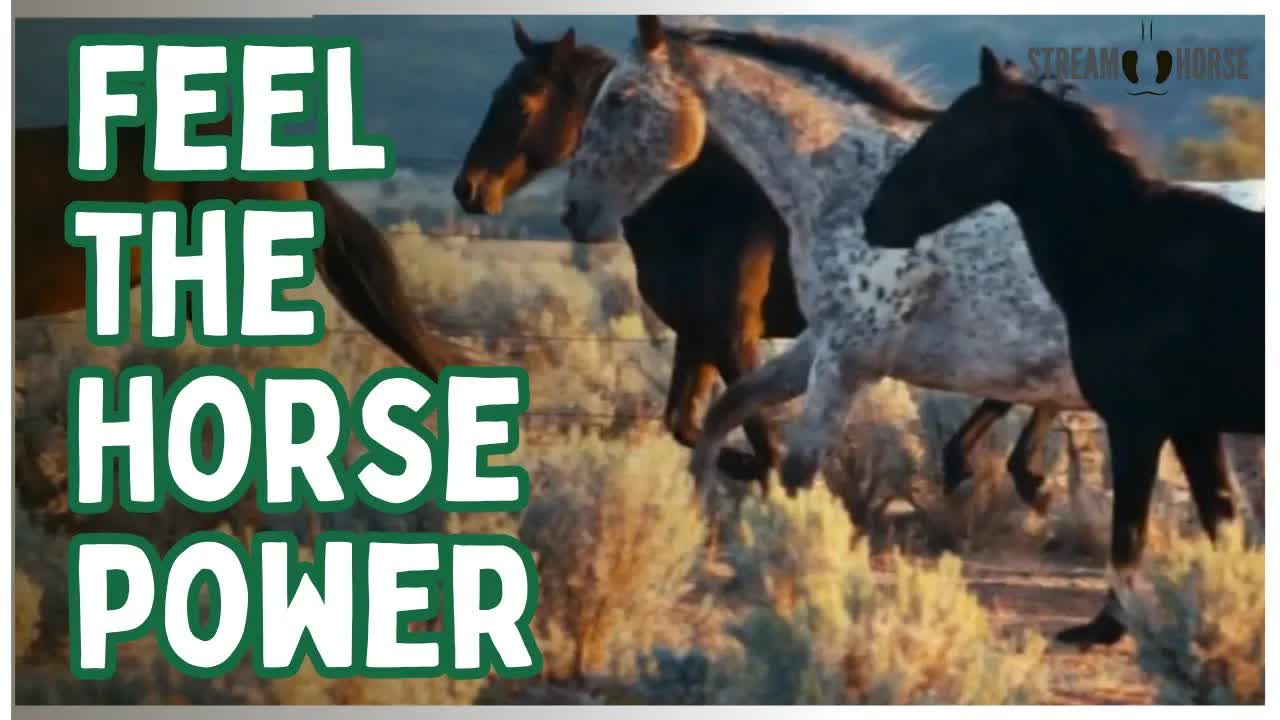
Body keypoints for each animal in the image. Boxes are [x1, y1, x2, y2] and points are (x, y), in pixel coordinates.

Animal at [455, 19, 1067, 505]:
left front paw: (759, 478)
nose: (469, 190)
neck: (703, 204)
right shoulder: (698, 335)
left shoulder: (740, 335)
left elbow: (755, 432)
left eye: (523, 104)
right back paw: (994, 467)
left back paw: (1009, 471)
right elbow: (688, 420)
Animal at [559, 18, 1262, 542]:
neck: (852, 190)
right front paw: (695, 520)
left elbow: (797, 470)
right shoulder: (818, 346)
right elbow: (723, 413)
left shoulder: (846, 362)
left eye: (620, 99)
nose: (574, 210)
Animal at [861, 47, 1264, 646]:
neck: (1129, 255)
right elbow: (1220, 522)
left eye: (954, 132)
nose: (873, 217)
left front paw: (1107, 626)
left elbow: (1129, 530)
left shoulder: (1138, 423)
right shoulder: (1194, 427)